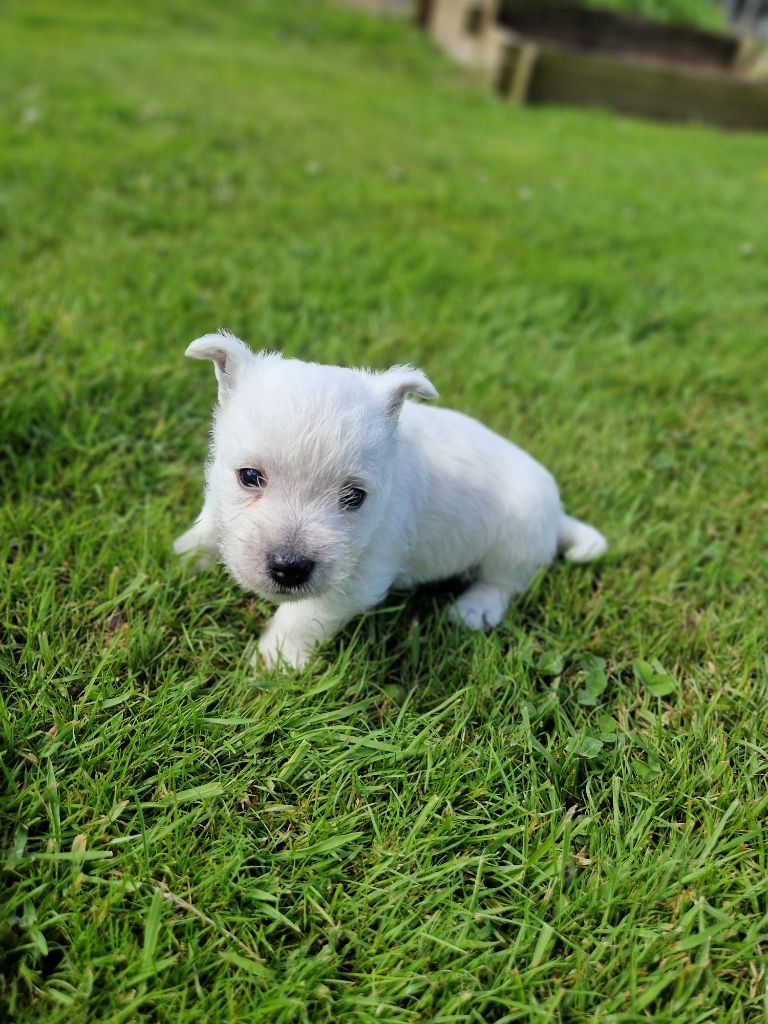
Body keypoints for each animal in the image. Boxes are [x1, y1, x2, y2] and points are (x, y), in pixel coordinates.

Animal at [174, 329, 606, 671]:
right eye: (249, 477)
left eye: (354, 496)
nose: (289, 568)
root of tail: (558, 515)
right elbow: (210, 524)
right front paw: (184, 556)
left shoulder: (359, 576)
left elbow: (302, 617)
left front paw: (271, 663)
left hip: (516, 537)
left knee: (504, 582)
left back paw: (475, 608)